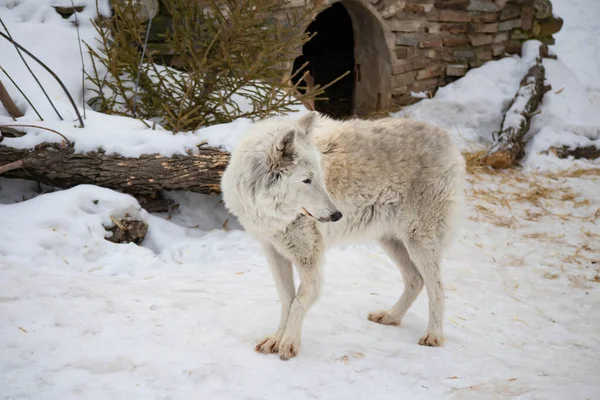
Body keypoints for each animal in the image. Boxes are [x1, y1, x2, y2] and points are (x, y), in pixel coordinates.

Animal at [220, 111, 464, 360]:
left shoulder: (310, 256)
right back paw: (391, 317)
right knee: (416, 280)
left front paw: (289, 343)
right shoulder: (273, 251)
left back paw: (433, 335)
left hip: (418, 241)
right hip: (391, 242)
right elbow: (287, 300)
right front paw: (276, 339)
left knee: (437, 287)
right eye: (307, 180)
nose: (337, 215)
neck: (272, 212)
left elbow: (299, 301)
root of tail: (449, 140)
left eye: (320, 177)